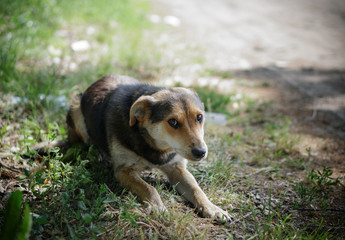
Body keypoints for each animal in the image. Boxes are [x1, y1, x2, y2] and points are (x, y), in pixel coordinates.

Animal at [33, 74, 230, 221]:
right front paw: (158, 208)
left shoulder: (177, 168)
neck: (156, 146)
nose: (201, 153)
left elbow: (197, 190)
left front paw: (213, 208)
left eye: (199, 117)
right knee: (81, 143)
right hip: (76, 108)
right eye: (173, 122)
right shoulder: (123, 171)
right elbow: (149, 188)